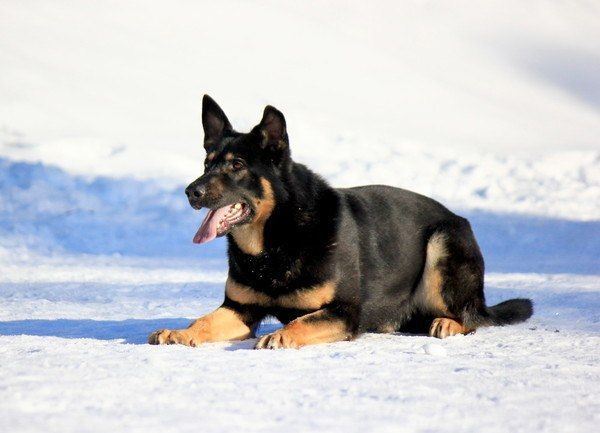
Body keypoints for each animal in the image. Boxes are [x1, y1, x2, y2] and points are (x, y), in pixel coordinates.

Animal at [148, 94, 532, 348]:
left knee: (472, 319)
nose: (190, 192)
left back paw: (449, 324)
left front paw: (282, 335)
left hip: (442, 243)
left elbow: (303, 320)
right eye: (207, 163)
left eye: (237, 165)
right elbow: (204, 320)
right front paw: (181, 332)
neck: (277, 239)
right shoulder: (239, 310)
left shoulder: (343, 311)